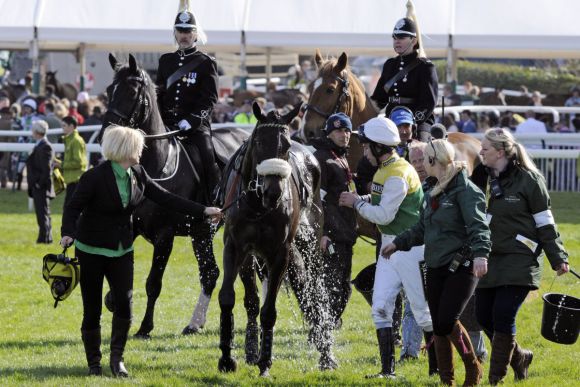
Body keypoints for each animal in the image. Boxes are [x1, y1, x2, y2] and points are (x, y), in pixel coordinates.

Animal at [100, 54, 249, 340]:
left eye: (131, 92)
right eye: (108, 90)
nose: (106, 131)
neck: (155, 163)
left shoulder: (164, 236)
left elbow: (153, 283)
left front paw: (145, 327)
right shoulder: (130, 228)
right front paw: (114, 302)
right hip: (201, 234)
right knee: (211, 273)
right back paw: (198, 323)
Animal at [218, 102, 338, 376]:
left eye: (285, 145)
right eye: (259, 142)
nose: (273, 192)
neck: (257, 204)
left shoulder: (280, 253)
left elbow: (270, 310)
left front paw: (265, 361)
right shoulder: (235, 247)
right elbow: (228, 298)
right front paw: (228, 358)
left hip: (309, 245)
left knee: (312, 290)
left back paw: (325, 352)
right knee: (252, 300)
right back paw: (252, 348)